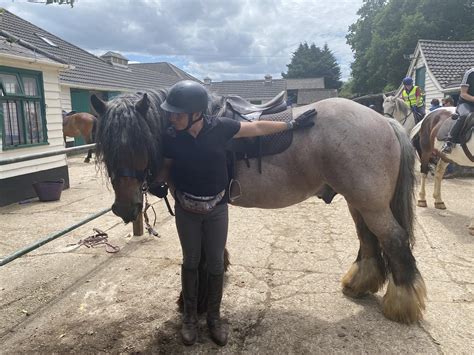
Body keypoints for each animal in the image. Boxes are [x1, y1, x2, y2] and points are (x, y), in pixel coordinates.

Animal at [90, 89, 428, 326]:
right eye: (107, 147)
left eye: (139, 143)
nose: (123, 208)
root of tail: (384, 121)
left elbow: (200, 255)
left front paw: (192, 303)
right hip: (359, 202)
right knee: (369, 239)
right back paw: (360, 285)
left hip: (370, 204)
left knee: (394, 240)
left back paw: (402, 304)